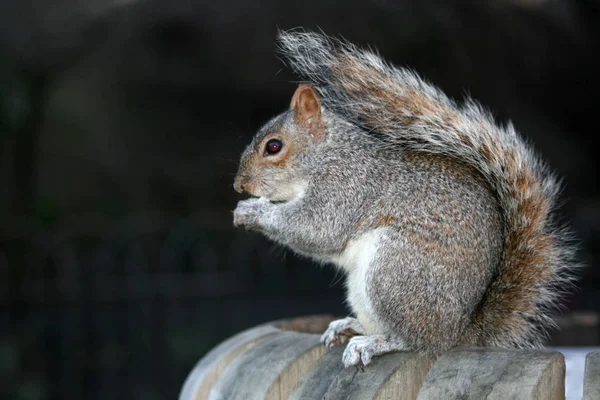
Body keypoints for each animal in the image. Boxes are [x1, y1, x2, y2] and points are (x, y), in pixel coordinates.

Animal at [232, 30, 580, 368]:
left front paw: (251, 211)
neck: (328, 154)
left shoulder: (346, 187)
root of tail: (458, 332)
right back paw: (349, 326)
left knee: (414, 341)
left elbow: (315, 228)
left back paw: (372, 344)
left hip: (394, 270)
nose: (239, 185)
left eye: (273, 146)